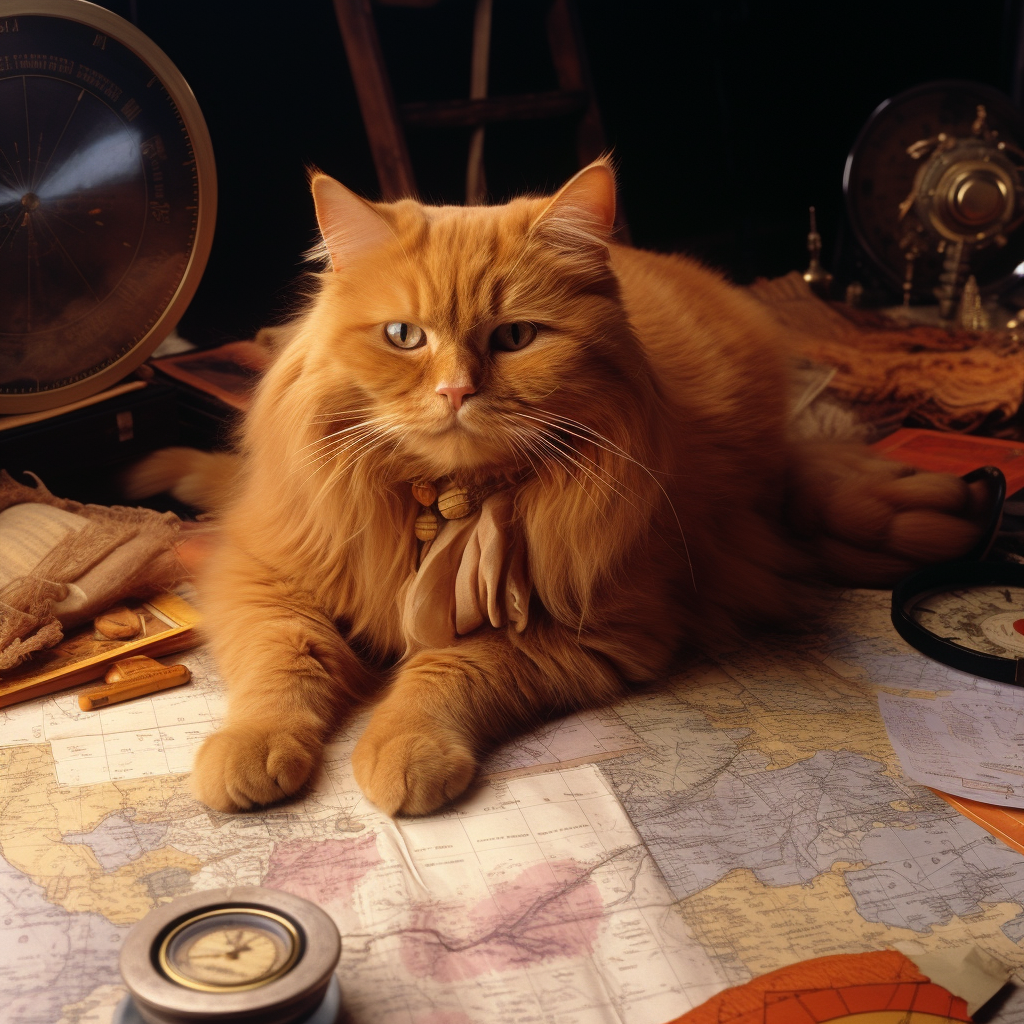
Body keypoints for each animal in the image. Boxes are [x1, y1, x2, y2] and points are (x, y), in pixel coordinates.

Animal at [136, 159, 983, 815]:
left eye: (515, 338)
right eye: (405, 337)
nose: (455, 391)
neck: (443, 498)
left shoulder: (591, 628)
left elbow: (447, 672)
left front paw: (405, 748)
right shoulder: (266, 578)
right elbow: (285, 665)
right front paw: (251, 747)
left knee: (821, 490)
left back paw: (931, 512)